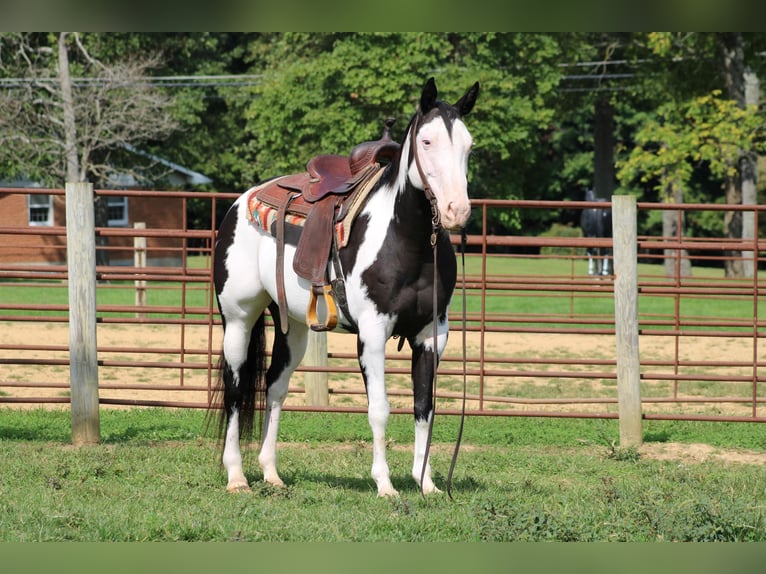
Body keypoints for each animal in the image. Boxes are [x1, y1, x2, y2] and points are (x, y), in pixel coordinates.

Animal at [213, 79, 480, 498]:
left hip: (294, 327)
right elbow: (379, 410)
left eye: (468, 145)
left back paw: (271, 473)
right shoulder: (372, 331)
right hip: (238, 319)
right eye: (426, 141)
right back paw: (237, 476)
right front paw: (385, 484)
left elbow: (424, 407)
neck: (408, 240)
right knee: (236, 388)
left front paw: (427, 483)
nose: (457, 210)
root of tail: (241, 203)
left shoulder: (432, 334)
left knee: (274, 387)